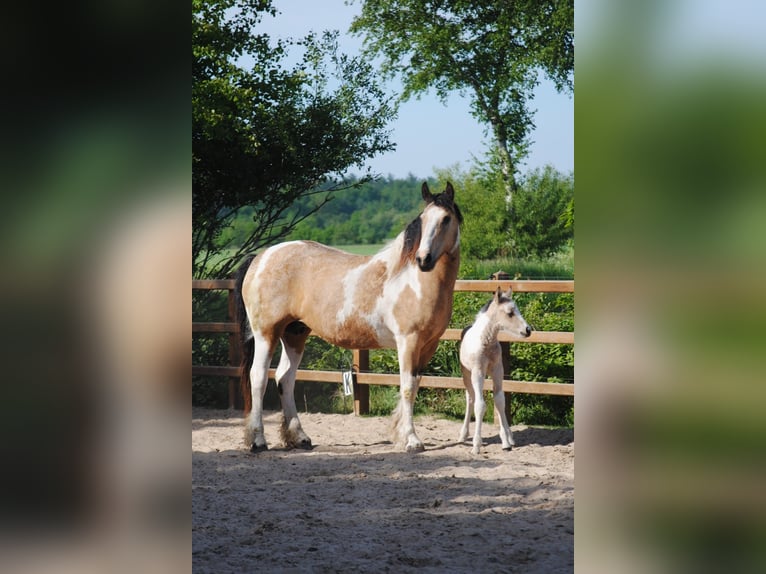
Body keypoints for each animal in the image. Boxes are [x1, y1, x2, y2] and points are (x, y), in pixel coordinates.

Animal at [235, 182, 462, 452]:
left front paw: (402, 434)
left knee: (285, 379)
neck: (414, 281)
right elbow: (407, 388)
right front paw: (411, 440)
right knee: (258, 378)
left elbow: (415, 386)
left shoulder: (427, 346)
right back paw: (258, 440)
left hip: (294, 334)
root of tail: (260, 258)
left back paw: (300, 437)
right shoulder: (408, 342)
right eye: (422, 219)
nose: (423, 259)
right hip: (266, 334)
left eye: (446, 219)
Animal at [458, 287, 532, 454]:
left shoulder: (498, 370)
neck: (486, 342)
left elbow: (500, 401)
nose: (528, 330)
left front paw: (506, 441)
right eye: (510, 313)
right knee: (470, 398)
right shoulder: (477, 372)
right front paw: (476, 445)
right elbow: (480, 405)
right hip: (466, 374)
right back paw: (463, 435)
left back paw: (510, 437)